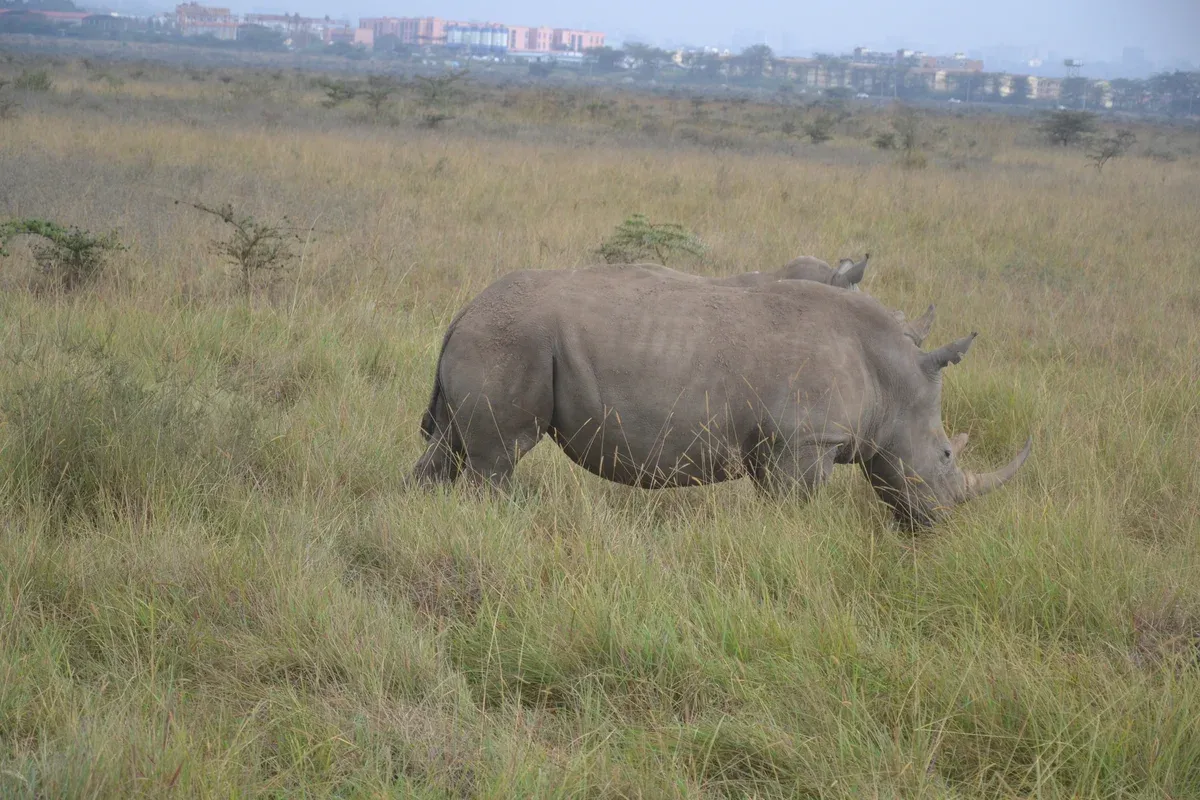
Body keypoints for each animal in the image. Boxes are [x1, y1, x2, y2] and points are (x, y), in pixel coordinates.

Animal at [412, 265, 1030, 527]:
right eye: (946, 455)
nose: (937, 524)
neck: (889, 378)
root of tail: (464, 310)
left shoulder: (785, 446)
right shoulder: (803, 443)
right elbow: (792, 512)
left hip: (489, 339)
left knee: (449, 449)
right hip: (511, 340)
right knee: (497, 459)